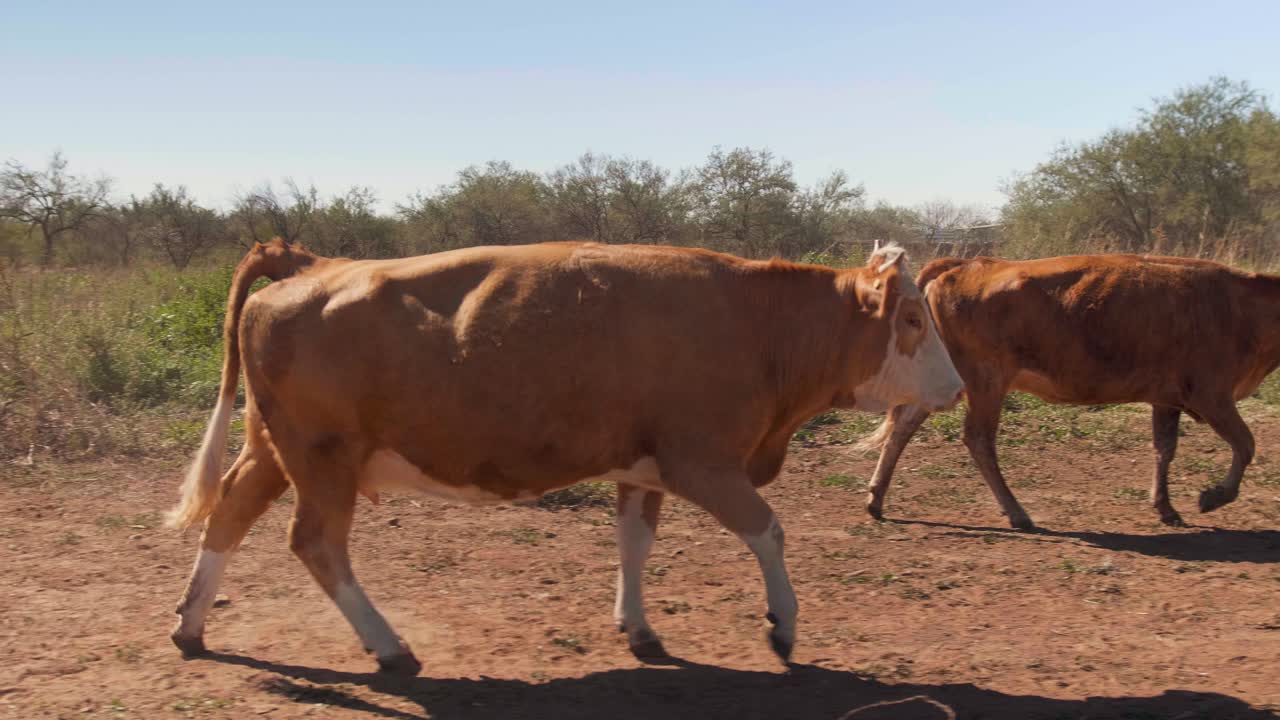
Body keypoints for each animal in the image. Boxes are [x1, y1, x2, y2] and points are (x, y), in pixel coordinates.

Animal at [165, 238, 963, 675]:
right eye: (912, 318)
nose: (956, 387)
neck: (755, 323)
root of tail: (314, 262)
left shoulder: (645, 470)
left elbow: (635, 543)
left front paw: (637, 626)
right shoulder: (701, 461)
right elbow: (768, 531)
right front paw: (783, 624)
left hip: (274, 451)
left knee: (228, 515)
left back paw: (191, 626)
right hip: (322, 460)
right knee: (317, 543)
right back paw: (389, 647)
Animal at [861, 253, 1280, 530]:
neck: (1240, 304)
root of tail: (966, 264)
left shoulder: (1166, 399)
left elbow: (1165, 449)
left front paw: (1165, 508)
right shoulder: (1213, 396)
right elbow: (1246, 444)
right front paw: (1213, 497)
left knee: (903, 428)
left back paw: (876, 500)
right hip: (985, 382)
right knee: (978, 439)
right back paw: (1017, 513)